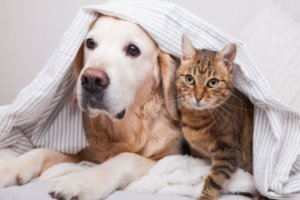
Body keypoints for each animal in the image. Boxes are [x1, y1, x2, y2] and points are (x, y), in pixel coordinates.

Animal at [0, 16, 180, 200]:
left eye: (133, 49)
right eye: (90, 43)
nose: (92, 80)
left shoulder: (170, 158)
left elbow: (127, 157)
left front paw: (84, 181)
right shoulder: (83, 153)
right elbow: (41, 151)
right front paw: (9, 168)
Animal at [175, 35, 264, 199]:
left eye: (213, 82)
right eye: (189, 79)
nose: (198, 97)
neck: (197, 119)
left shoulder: (227, 151)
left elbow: (215, 178)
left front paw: (205, 196)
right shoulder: (198, 152)